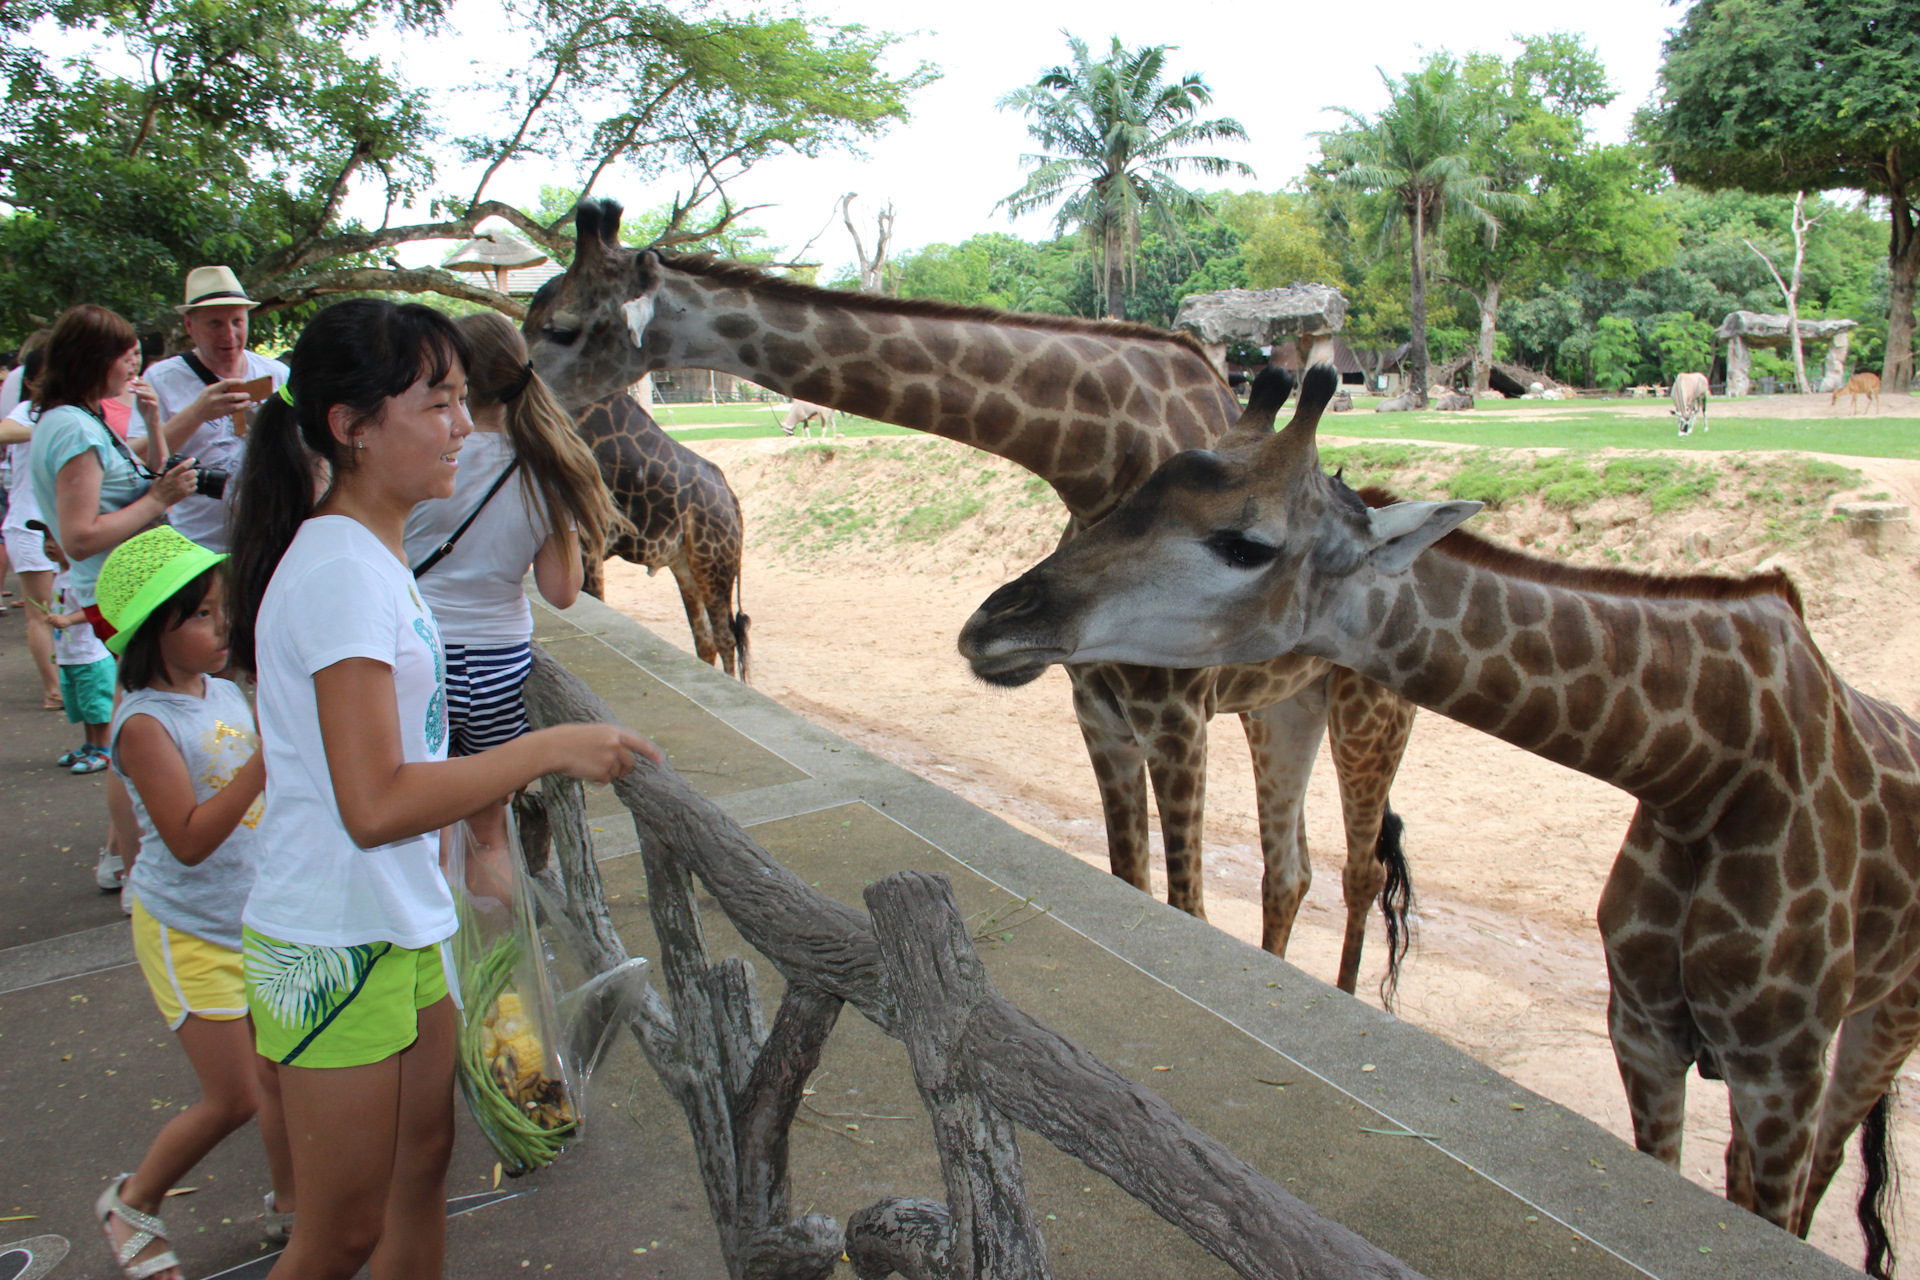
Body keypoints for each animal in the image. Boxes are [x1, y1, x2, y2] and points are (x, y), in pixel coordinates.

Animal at [568, 393, 748, 679]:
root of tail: (732, 501)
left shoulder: (589, 542)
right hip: (686, 565)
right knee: (705, 638)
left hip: (714, 562)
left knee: (725, 637)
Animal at [967, 362, 1920, 1274]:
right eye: (1136, 496)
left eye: (1246, 543)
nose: (990, 626)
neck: (1704, 767)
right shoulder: (1643, 1032)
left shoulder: (1778, 1070)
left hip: (1881, 1025)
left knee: (1823, 1171)